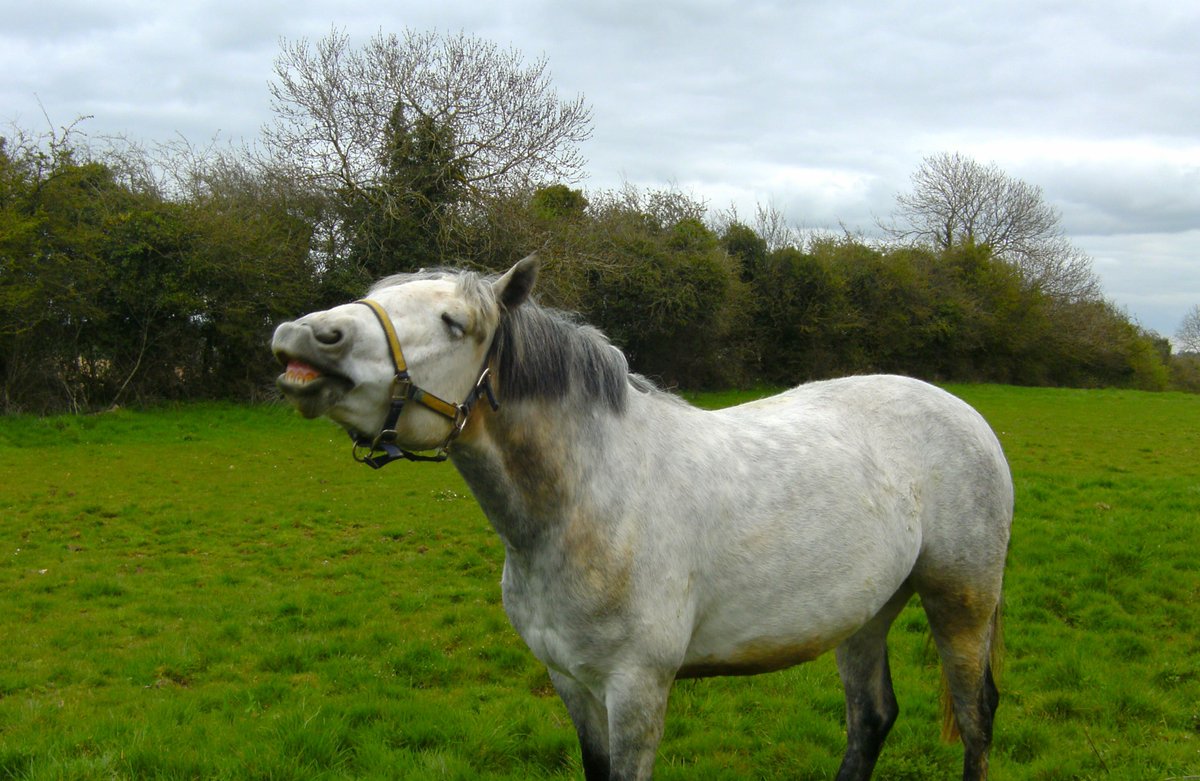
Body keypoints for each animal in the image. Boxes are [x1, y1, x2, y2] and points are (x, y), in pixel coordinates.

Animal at [271, 255, 1012, 780]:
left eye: (455, 323)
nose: (305, 338)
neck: (589, 501)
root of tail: (966, 414)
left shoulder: (636, 689)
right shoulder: (571, 682)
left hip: (960, 600)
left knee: (976, 718)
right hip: (866, 612)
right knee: (871, 720)